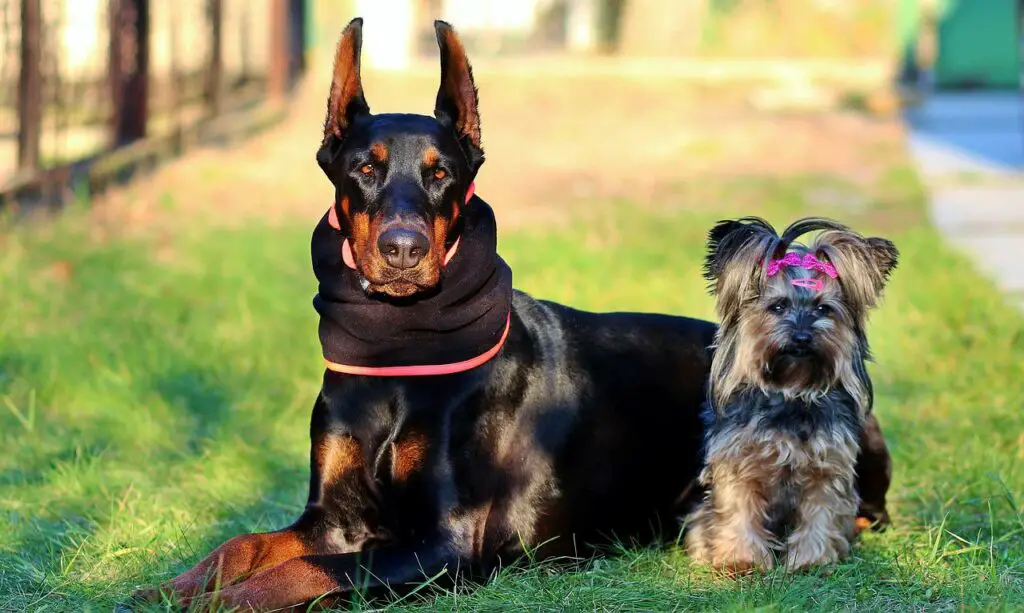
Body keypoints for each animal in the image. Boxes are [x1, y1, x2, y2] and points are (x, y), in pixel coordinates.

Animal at [688, 217, 897, 573]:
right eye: (778, 306)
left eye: (824, 308)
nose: (801, 336)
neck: (792, 391)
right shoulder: (736, 462)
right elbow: (736, 509)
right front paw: (741, 560)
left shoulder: (828, 467)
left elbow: (821, 513)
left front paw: (811, 561)